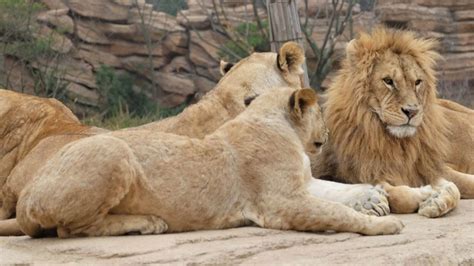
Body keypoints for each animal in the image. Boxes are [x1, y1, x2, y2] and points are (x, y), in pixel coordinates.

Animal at [15, 88, 404, 239]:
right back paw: (150, 223)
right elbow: (336, 212)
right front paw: (385, 225)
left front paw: (374, 199)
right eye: (320, 113)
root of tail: (25, 196)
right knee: (73, 230)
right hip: (115, 151)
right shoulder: (281, 204)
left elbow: (337, 191)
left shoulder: (302, 185)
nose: (327, 132)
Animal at [312, 27, 472, 218]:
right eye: (388, 81)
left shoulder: (430, 166)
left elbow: (459, 186)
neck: (393, 142)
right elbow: (398, 196)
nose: (412, 111)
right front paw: (430, 195)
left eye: (417, 82)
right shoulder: (356, 172)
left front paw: (439, 199)